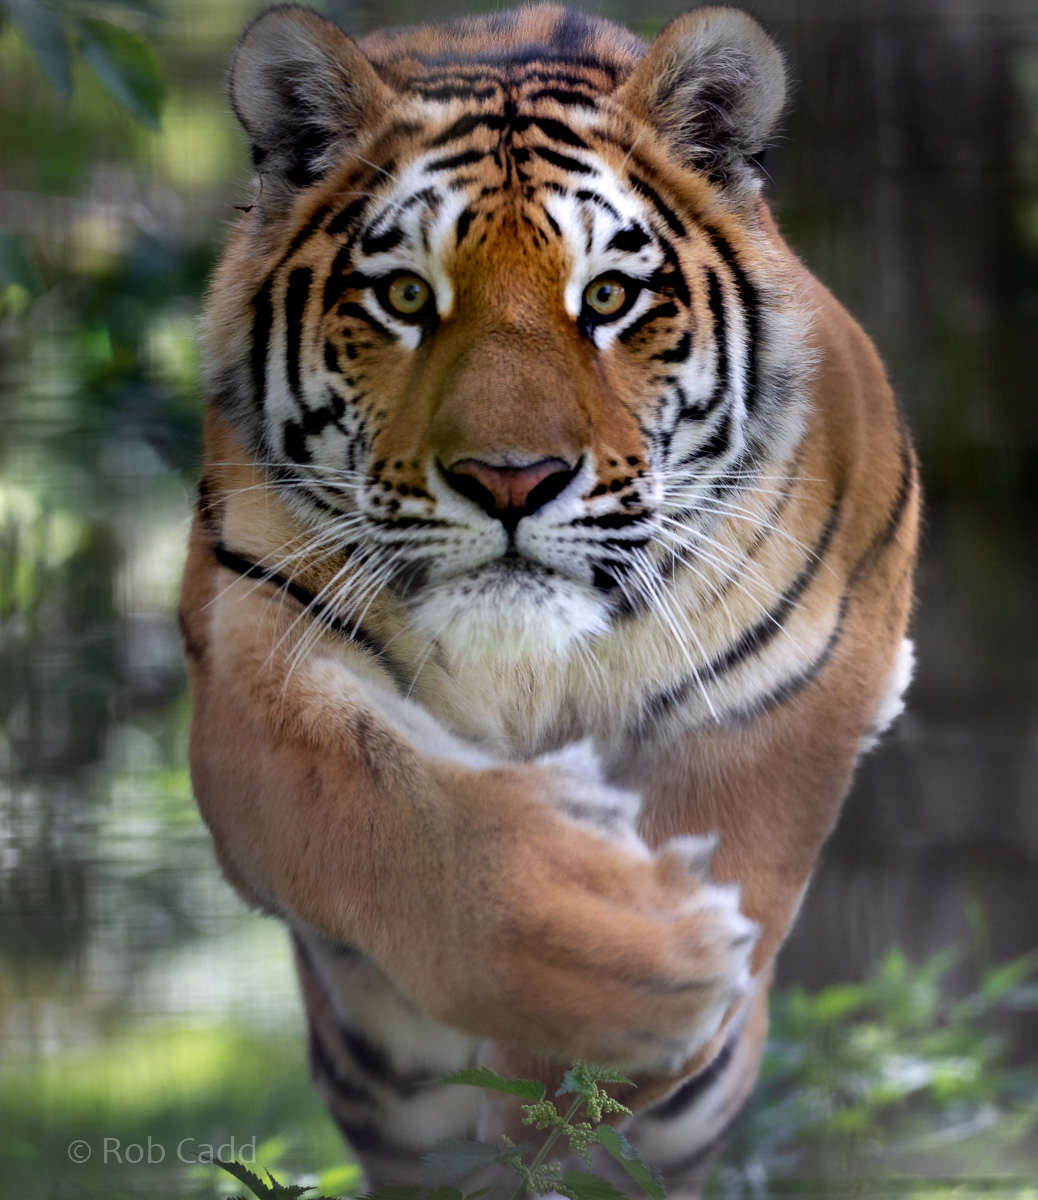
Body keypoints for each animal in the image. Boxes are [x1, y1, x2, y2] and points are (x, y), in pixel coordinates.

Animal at [179, 1, 920, 1192]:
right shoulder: (251, 665)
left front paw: (576, 1089)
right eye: (405, 296)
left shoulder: (812, 673)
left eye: (608, 296)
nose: (512, 479)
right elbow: (396, 819)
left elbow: (749, 830)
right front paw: (641, 960)